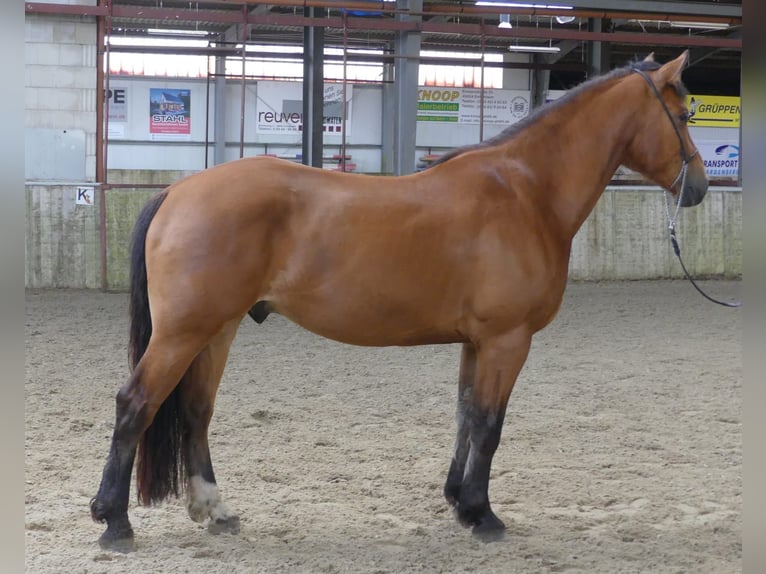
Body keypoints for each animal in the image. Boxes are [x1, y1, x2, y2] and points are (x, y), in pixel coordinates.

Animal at [93, 50, 712, 552]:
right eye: (684, 115)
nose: (700, 188)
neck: (525, 190)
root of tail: (178, 189)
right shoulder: (507, 339)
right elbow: (490, 424)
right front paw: (483, 515)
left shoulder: (477, 342)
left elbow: (466, 415)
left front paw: (459, 501)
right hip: (185, 331)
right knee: (135, 404)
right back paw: (114, 522)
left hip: (216, 329)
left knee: (196, 410)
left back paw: (215, 509)